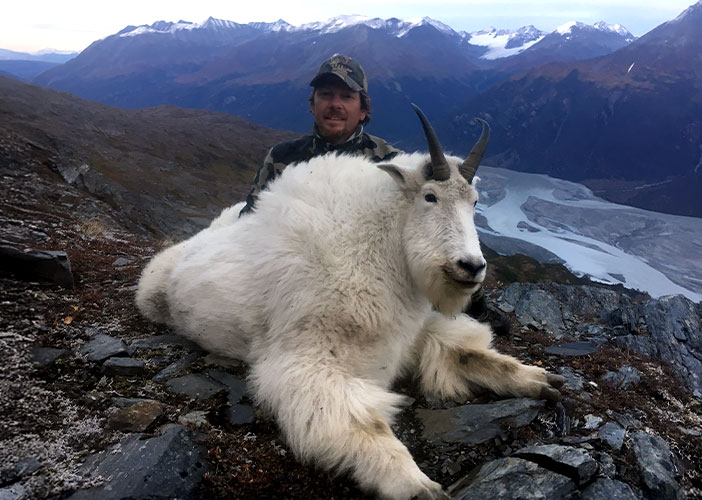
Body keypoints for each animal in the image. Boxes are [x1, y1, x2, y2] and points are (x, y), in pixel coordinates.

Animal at [136, 105, 563, 499]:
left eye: (474, 202)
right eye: (429, 196)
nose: (471, 267)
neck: (380, 250)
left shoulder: (411, 334)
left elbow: (467, 355)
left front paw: (539, 379)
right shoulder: (310, 361)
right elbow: (365, 423)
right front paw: (417, 484)